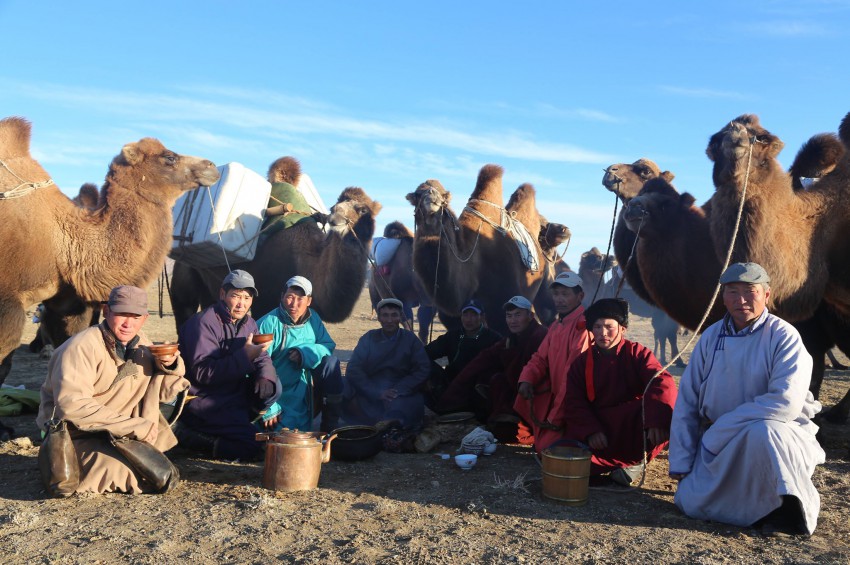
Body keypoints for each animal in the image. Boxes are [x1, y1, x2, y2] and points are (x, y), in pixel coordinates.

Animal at [167, 156, 380, 328]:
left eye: (363, 209)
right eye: (334, 205)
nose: (336, 216)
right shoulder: (264, 298)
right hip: (184, 276)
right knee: (184, 309)